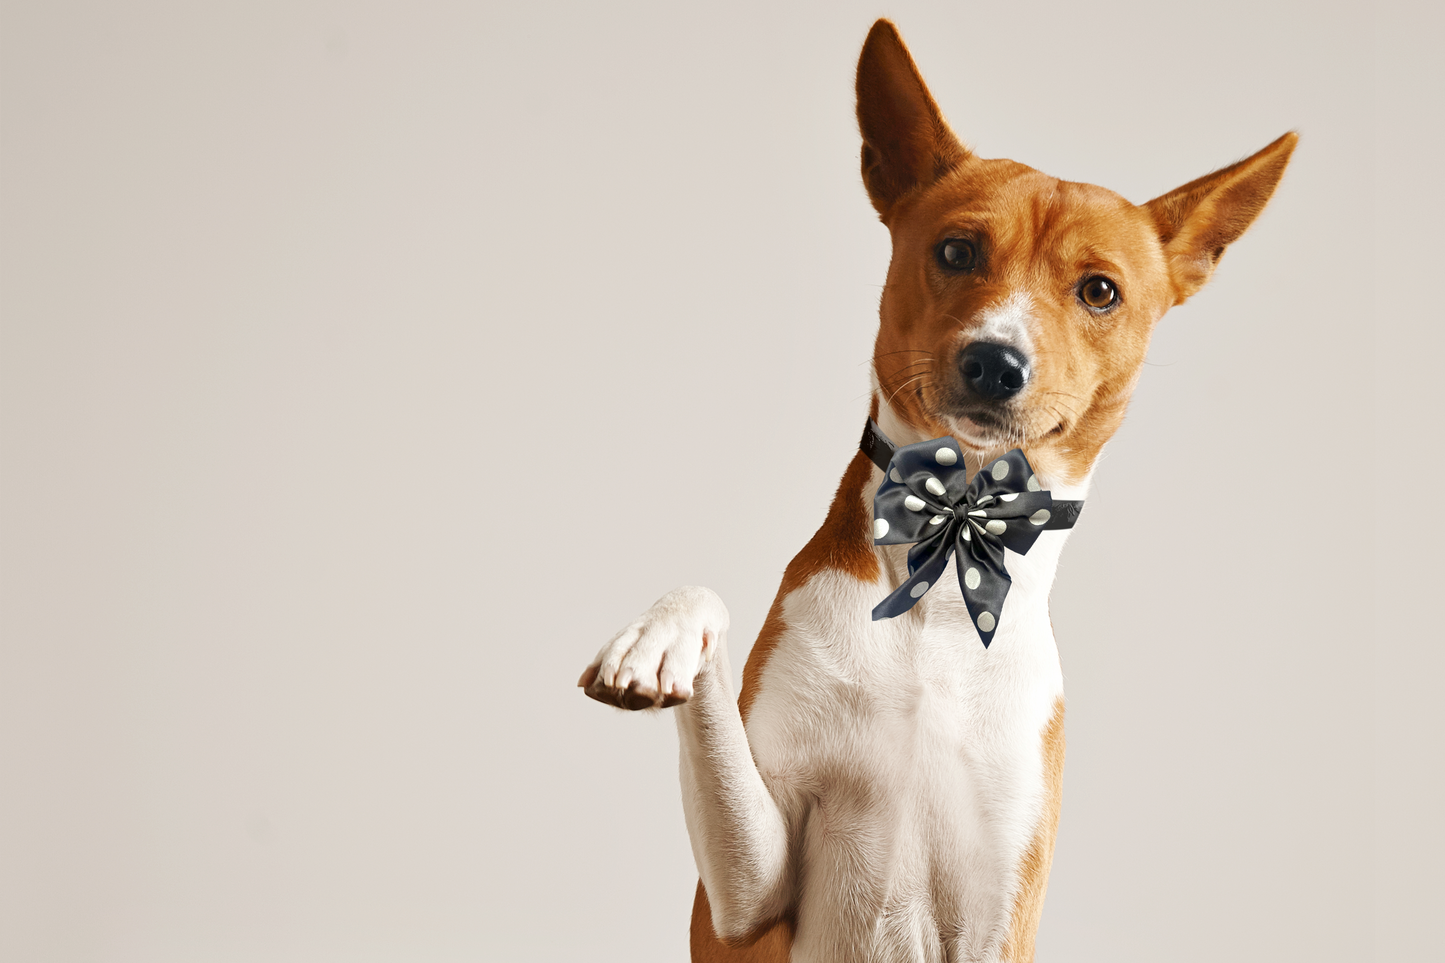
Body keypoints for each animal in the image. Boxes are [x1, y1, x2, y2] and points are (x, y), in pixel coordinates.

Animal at [575, 16, 1300, 960]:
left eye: (1099, 291)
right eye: (957, 250)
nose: (995, 360)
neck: (949, 587)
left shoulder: (1001, 911)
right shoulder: (744, 903)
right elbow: (704, 609)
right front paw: (656, 640)